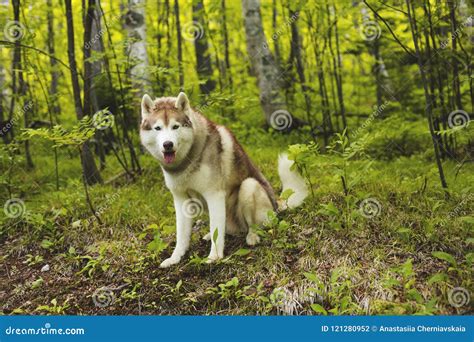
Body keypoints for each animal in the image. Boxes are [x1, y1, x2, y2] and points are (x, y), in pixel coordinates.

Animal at [139, 93, 308, 268]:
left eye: (175, 127)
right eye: (158, 128)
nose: (168, 144)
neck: (187, 160)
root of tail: (277, 204)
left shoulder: (214, 195)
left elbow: (216, 230)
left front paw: (214, 257)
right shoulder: (181, 199)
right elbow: (182, 235)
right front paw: (175, 257)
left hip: (250, 187)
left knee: (254, 225)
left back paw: (252, 236)